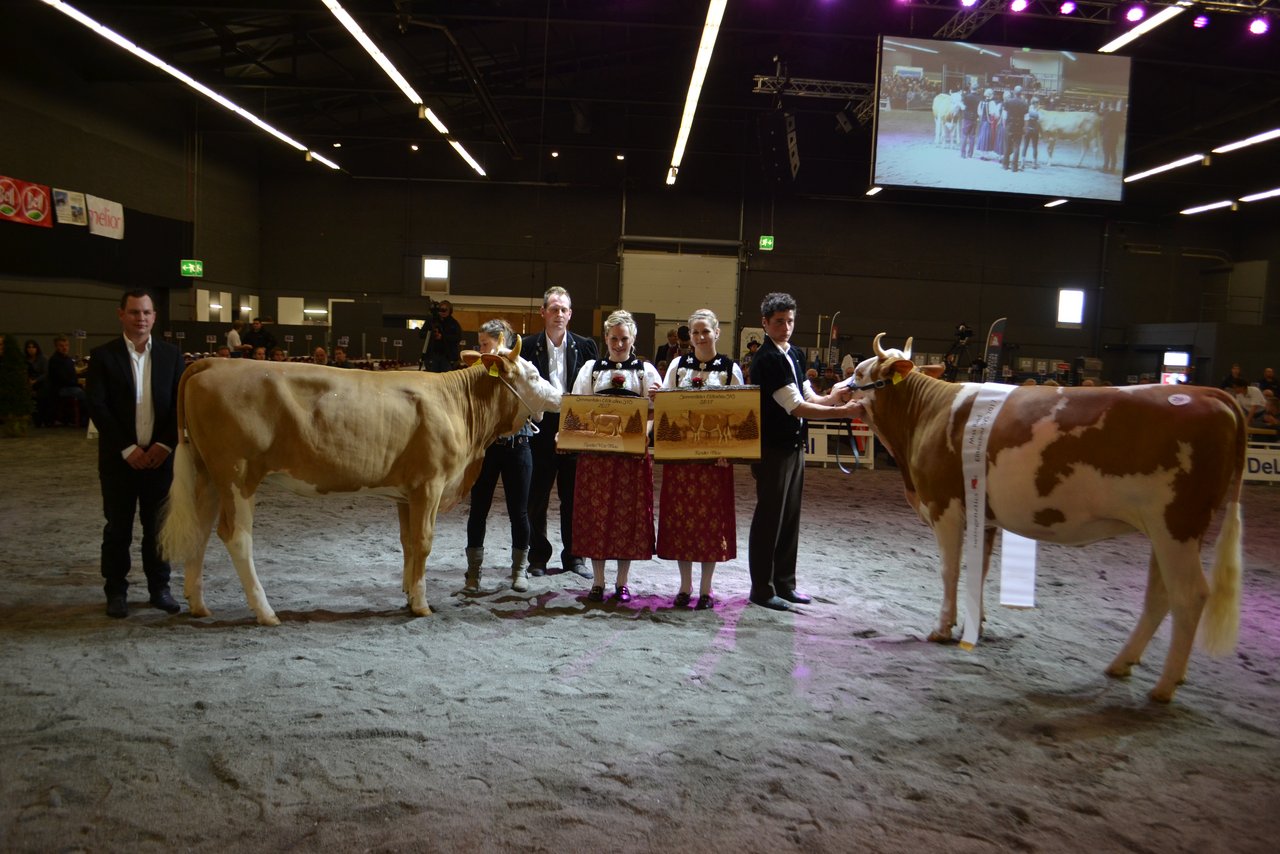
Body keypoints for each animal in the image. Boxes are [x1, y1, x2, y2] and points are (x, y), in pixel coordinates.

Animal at [160, 338, 560, 624]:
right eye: (534, 374)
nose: (559, 395)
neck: (457, 404)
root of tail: (214, 362)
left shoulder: (406, 491)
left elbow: (407, 543)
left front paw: (407, 594)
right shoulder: (429, 484)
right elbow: (423, 542)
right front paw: (421, 604)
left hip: (208, 474)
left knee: (200, 530)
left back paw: (198, 605)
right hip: (238, 474)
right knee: (236, 537)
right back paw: (265, 612)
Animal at [844, 332, 1244, 701]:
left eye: (861, 371)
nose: (838, 385)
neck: (927, 413)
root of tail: (1210, 395)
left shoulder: (946, 506)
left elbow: (949, 570)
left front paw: (942, 629)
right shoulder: (984, 515)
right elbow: (979, 571)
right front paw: (977, 624)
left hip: (1177, 524)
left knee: (1189, 595)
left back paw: (1163, 686)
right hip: (1164, 531)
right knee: (1160, 595)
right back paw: (1123, 664)